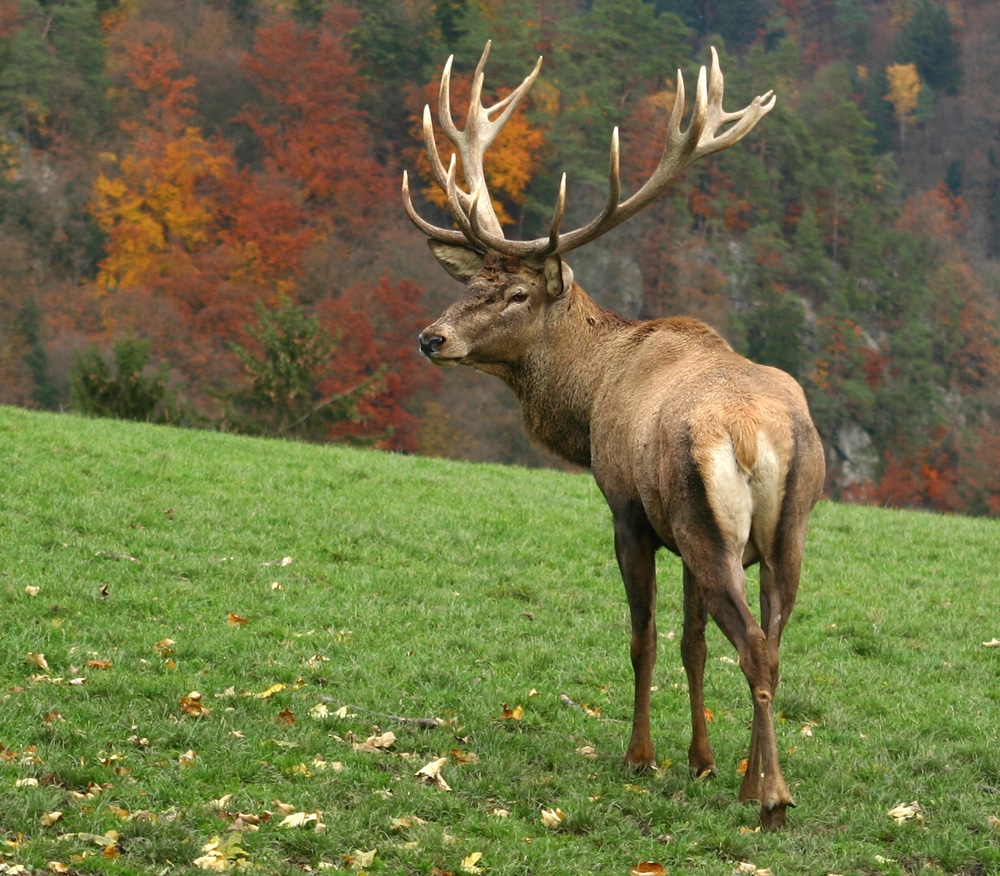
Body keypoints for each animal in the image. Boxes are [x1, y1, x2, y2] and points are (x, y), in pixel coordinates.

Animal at [402, 42, 824, 836]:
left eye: (517, 293)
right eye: (476, 283)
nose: (431, 337)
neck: (591, 395)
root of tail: (758, 437)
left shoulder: (630, 512)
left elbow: (643, 638)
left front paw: (641, 757)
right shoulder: (684, 534)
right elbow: (692, 643)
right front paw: (702, 761)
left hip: (707, 523)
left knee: (754, 647)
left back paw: (774, 799)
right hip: (783, 531)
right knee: (775, 644)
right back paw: (753, 782)